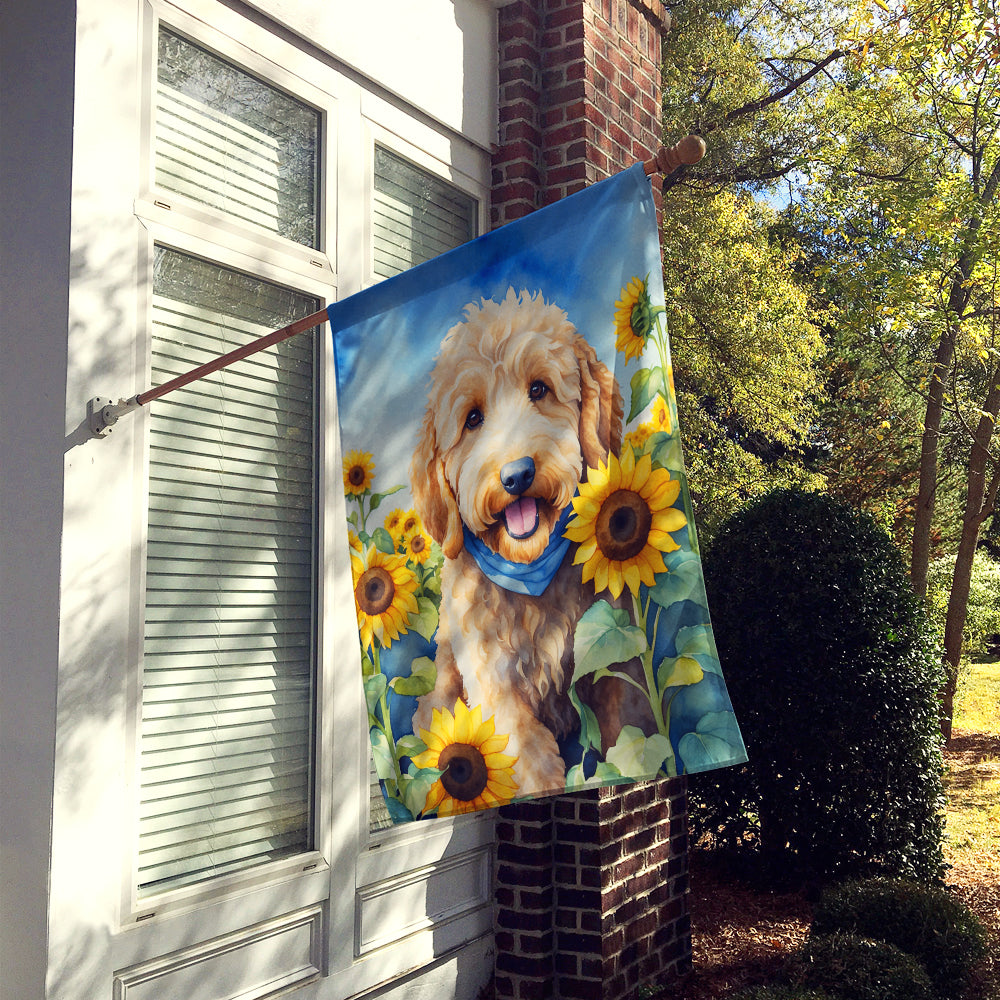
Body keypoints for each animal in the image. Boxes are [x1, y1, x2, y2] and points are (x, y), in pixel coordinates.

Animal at [410, 288, 628, 796]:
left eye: (539, 389)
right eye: (473, 418)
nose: (517, 476)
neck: (528, 576)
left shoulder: (606, 656)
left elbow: (622, 724)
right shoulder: (495, 686)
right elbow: (532, 760)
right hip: (445, 673)